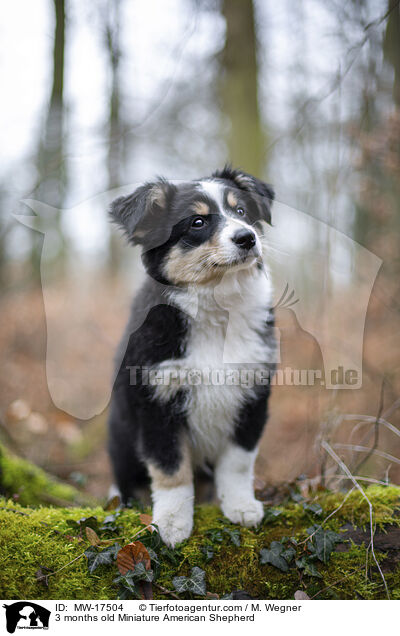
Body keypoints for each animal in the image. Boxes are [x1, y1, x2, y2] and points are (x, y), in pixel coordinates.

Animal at [109, 165, 278, 548]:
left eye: (241, 211)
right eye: (197, 222)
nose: (247, 238)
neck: (216, 308)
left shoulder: (252, 394)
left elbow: (237, 462)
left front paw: (241, 507)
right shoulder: (156, 401)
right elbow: (171, 469)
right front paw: (171, 524)